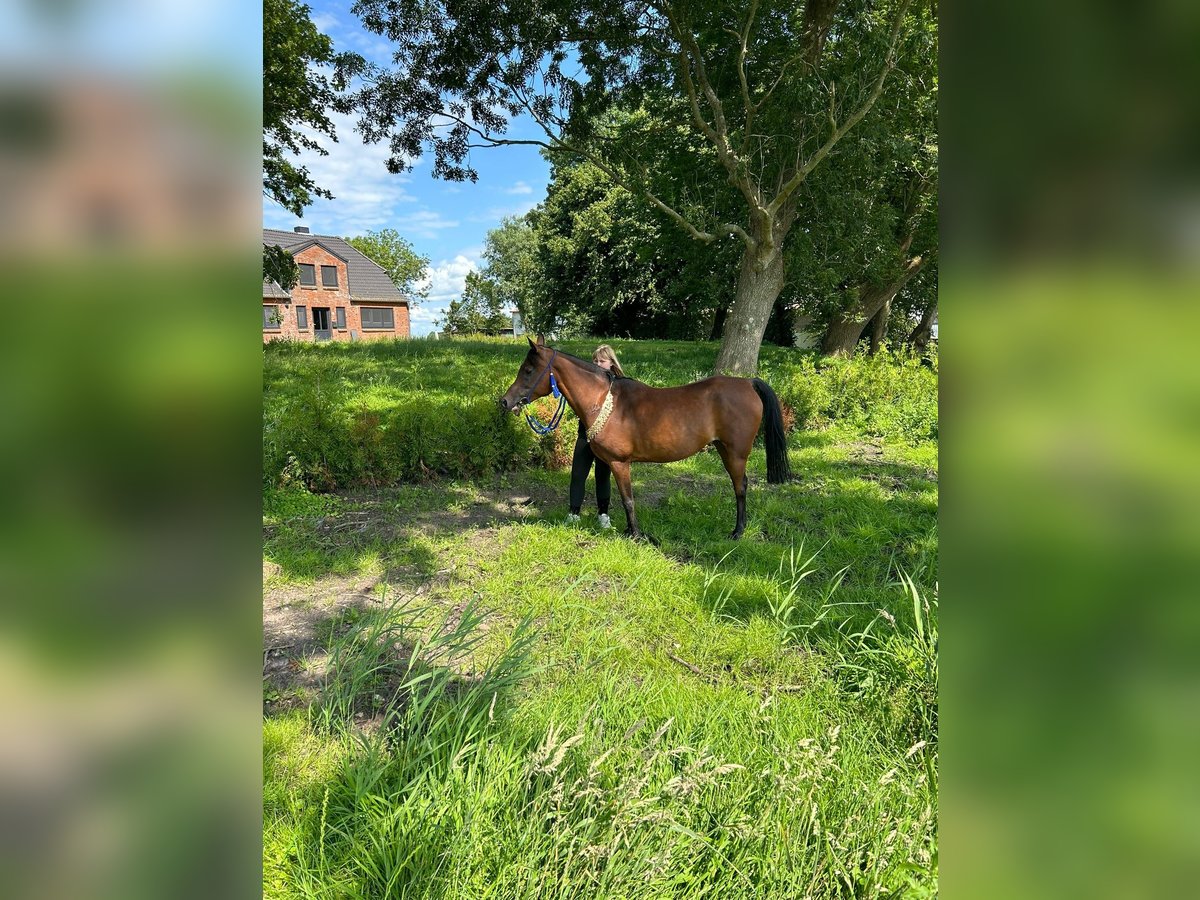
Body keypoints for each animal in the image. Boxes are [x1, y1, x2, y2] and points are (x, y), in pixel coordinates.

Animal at [501, 336, 792, 535]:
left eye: (528, 370)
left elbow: (628, 499)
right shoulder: (607, 462)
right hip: (723, 448)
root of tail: (748, 383)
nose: (505, 401)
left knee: (740, 487)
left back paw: (737, 531)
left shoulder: (619, 463)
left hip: (735, 453)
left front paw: (636, 534)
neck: (605, 401)